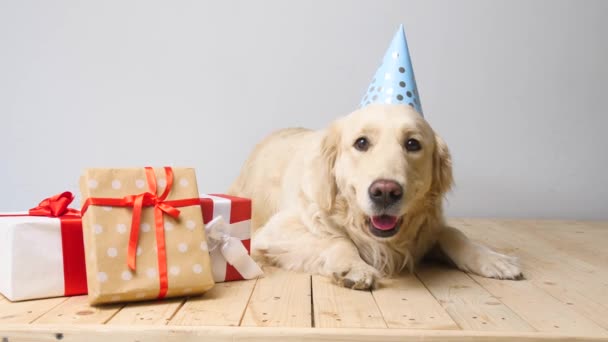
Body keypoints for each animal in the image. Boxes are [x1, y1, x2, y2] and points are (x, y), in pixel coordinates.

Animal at [228, 105, 524, 288]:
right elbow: (337, 239)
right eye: (361, 142)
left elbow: (453, 233)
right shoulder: (274, 232)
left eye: (412, 144)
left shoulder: (427, 228)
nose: (385, 192)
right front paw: (353, 267)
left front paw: (493, 259)